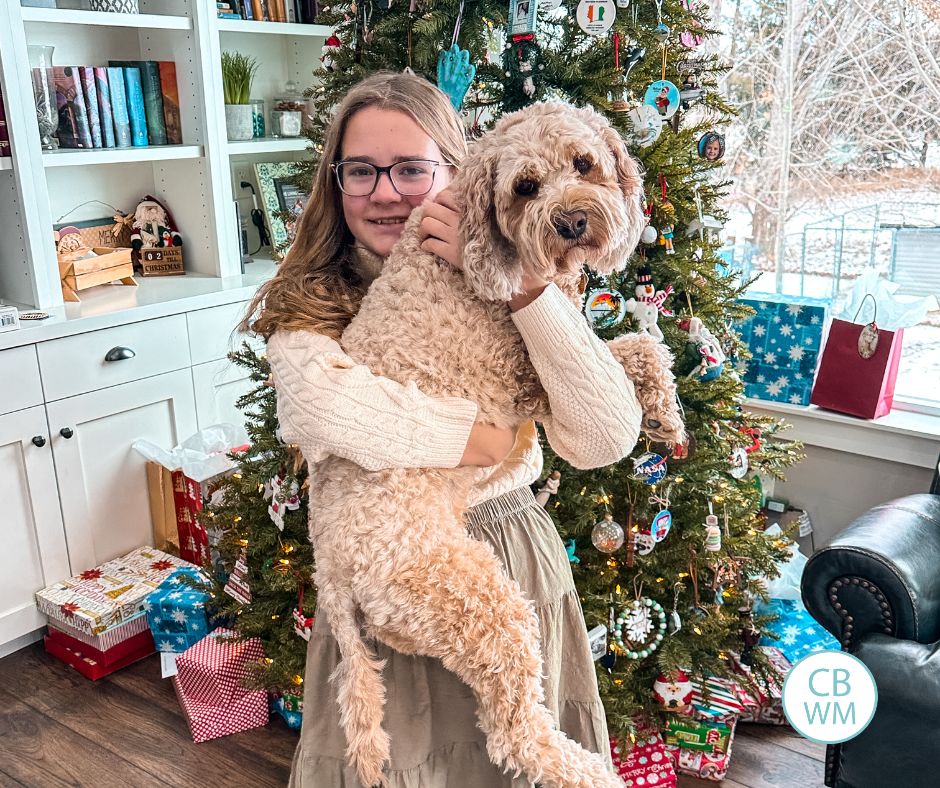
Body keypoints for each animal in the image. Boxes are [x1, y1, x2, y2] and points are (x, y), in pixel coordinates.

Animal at [308, 101, 684, 784]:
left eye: (584, 164)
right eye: (525, 187)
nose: (572, 221)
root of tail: (332, 573)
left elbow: (639, 349)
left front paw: (667, 418)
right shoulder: (527, 383)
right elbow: (636, 346)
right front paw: (666, 413)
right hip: (482, 605)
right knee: (519, 735)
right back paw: (590, 769)